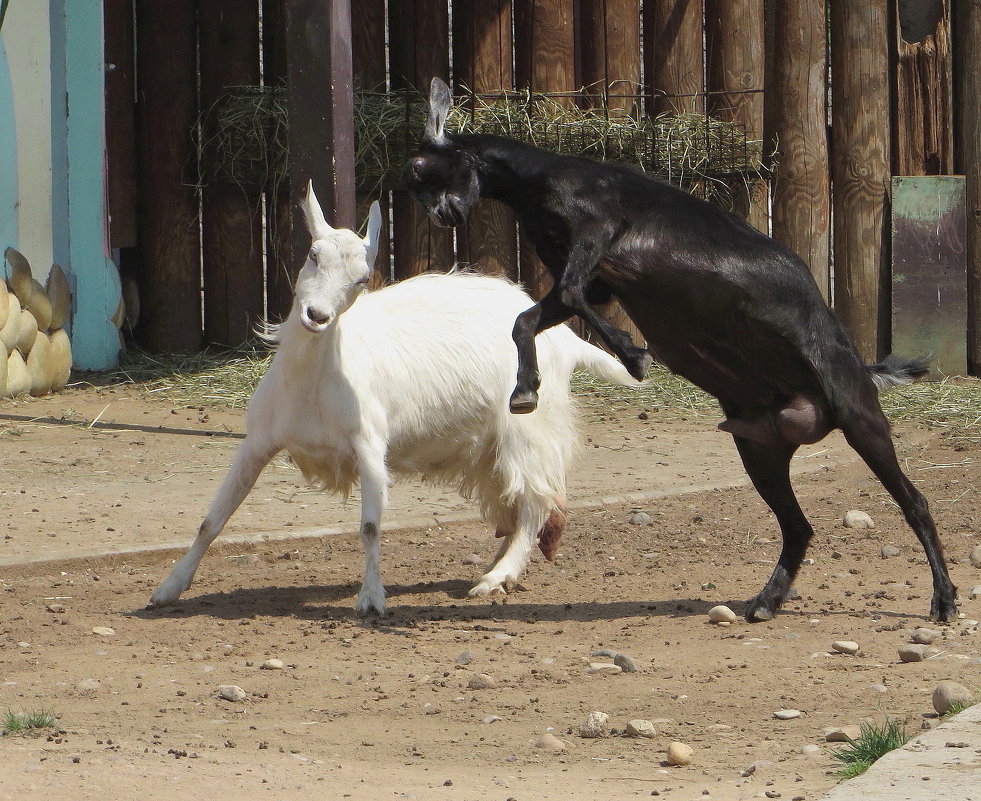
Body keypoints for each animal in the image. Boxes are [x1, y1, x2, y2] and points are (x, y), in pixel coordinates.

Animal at [145, 181, 636, 616]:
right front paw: (167, 589)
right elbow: (212, 519)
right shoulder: (258, 441)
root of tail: (566, 339)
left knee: (535, 503)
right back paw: (497, 566)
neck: (315, 379)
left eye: (362, 278)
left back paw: (497, 577)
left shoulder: (368, 445)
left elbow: (369, 525)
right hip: (490, 448)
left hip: (527, 427)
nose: (316, 316)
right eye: (313, 255)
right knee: (514, 506)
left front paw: (371, 598)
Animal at [404, 76, 956, 624]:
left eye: (424, 169)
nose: (443, 215)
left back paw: (944, 599)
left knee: (915, 502)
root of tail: (857, 369)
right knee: (798, 525)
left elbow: (571, 296)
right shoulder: (593, 276)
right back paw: (766, 600)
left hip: (858, 415)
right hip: (759, 446)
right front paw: (525, 390)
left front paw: (632, 354)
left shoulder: (599, 232)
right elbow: (531, 317)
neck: (543, 179)